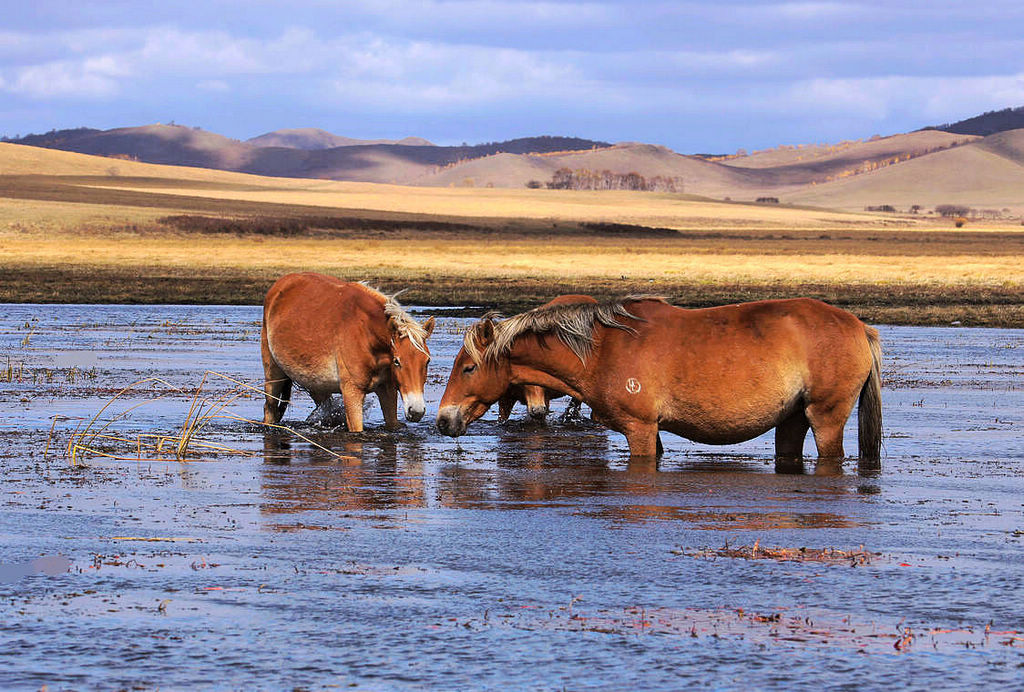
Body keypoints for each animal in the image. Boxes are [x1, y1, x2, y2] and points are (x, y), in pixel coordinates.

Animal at [262, 272, 434, 429]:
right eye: (397, 361)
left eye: (427, 361)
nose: (416, 411)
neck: (366, 333)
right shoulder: (352, 393)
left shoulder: (387, 389)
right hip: (273, 374)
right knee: (270, 409)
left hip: (317, 385)